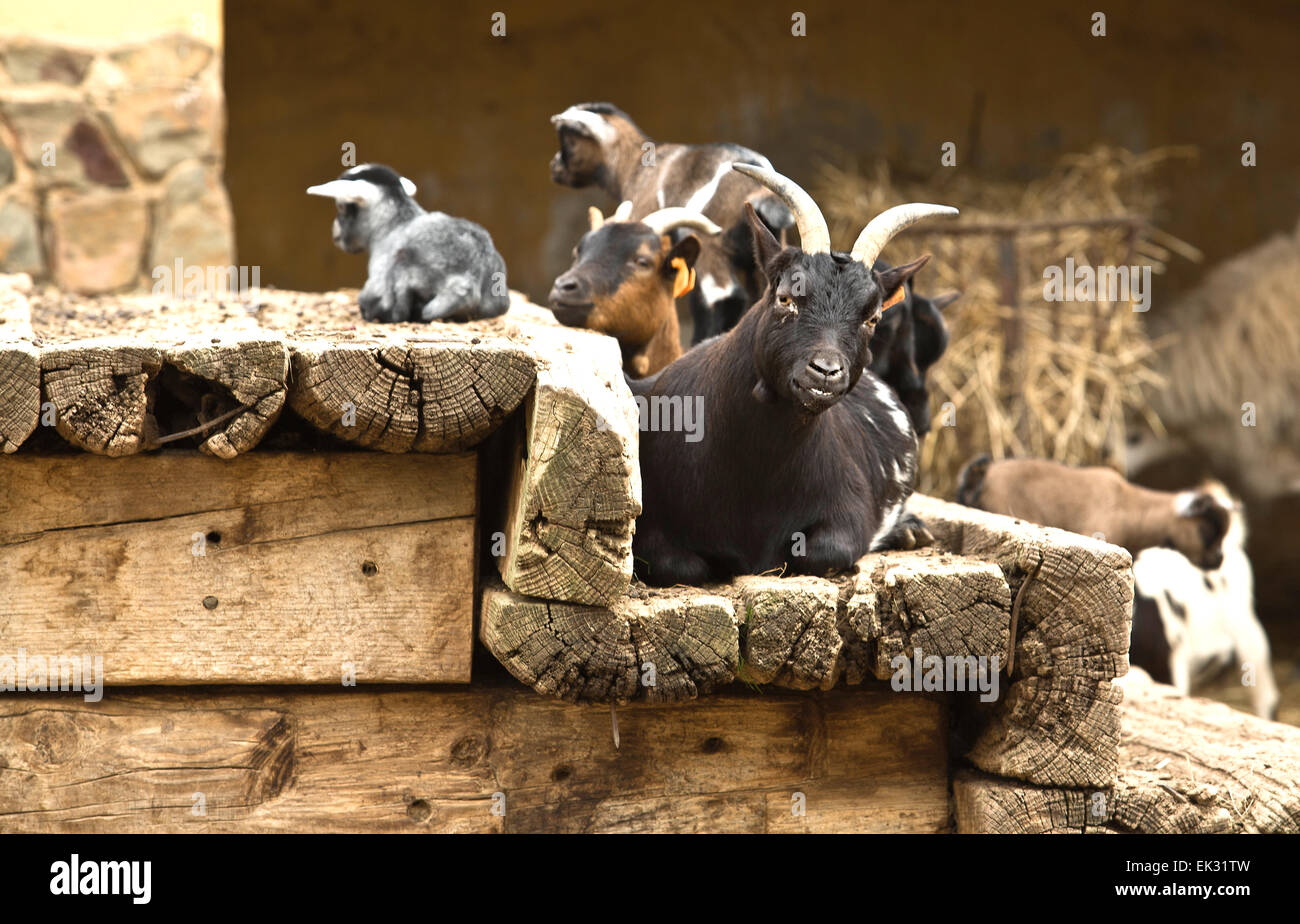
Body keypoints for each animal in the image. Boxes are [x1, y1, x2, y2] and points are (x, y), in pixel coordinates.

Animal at [307, 163, 509, 323]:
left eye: (341, 206)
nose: (335, 233)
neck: (396, 223)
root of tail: (470, 279)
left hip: (405, 267)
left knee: (397, 310)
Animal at [550, 103, 793, 342]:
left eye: (568, 140)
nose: (555, 167)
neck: (634, 167)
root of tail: (758, 191)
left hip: (711, 247)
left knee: (722, 297)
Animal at [631, 164, 957, 585]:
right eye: (785, 297)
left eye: (872, 318)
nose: (826, 372)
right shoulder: (654, 522)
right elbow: (681, 565)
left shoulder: (848, 508)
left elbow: (827, 551)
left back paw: (911, 529)